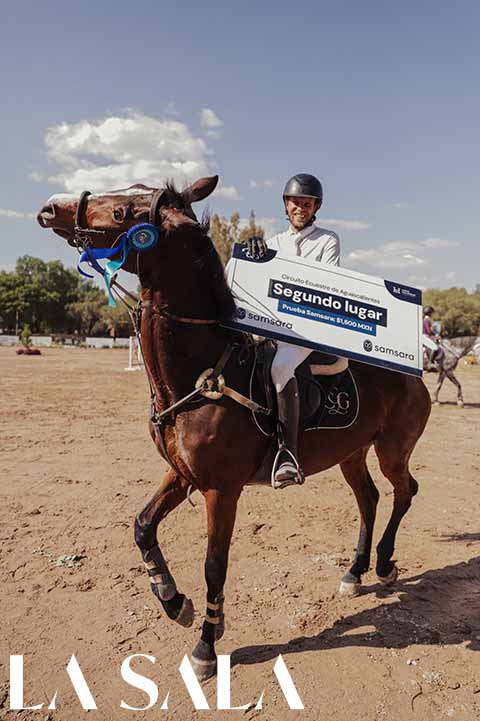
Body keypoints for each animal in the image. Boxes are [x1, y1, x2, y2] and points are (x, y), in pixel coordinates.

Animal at [37, 175, 431, 681]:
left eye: (124, 211)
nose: (52, 208)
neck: (199, 375)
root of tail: (415, 371)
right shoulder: (182, 474)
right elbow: (142, 526)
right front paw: (173, 601)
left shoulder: (221, 490)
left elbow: (213, 565)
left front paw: (206, 645)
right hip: (351, 453)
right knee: (370, 499)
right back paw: (354, 572)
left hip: (392, 449)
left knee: (404, 491)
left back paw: (382, 564)